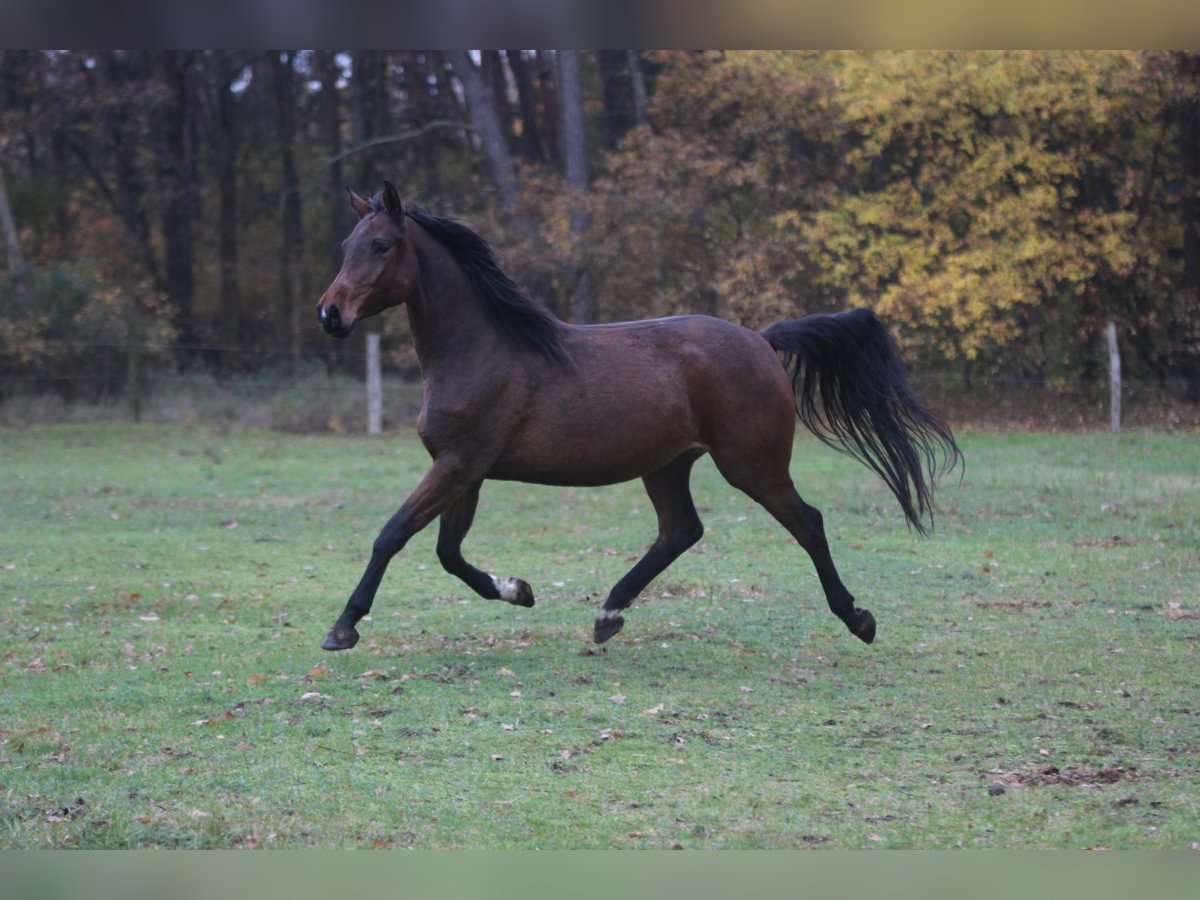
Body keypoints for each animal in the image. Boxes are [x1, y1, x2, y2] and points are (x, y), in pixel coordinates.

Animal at [314, 180, 960, 652]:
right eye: (346, 247)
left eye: (381, 246)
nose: (329, 314)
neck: (482, 347)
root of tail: (760, 339)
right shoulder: (465, 470)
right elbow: (448, 554)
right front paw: (519, 590)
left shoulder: (457, 464)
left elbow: (392, 535)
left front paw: (343, 627)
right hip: (668, 464)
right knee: (680, 531)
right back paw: (608, 614)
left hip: (751, 466)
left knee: (808, 523)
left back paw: (858, 618)